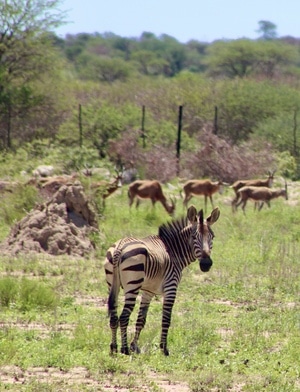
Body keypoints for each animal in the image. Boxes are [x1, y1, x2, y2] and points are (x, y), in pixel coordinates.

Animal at [103, 205, 220, 356]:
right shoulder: (171, 287)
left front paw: (135, 346)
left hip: (112, 285)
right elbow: (166, 319)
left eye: (212, 237)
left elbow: (141, 319)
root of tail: (119, 248)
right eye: (194, 237)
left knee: (113, 317)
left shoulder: (148, 291)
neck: (173, 251)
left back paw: (114, 348)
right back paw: (124, 349)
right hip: (132, 286)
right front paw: (164, 349)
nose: (206, 264)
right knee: (124, 317)